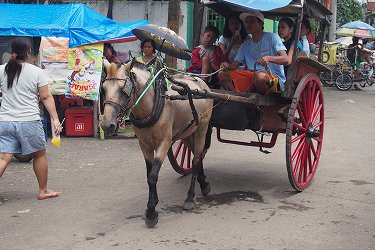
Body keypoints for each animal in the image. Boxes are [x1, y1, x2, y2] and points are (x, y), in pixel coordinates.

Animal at [101, 59, 214, 228]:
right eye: (104, 88)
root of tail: (203, 83)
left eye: (123, 90)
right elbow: (149, 174)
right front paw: (152, 203)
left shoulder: (164, 144)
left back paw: (190, 197)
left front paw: (151, 212)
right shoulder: (145, 145)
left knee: (195, 160)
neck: (153, 103)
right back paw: (204, 183)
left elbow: (153, 176)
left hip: (202, 127)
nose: (107, 125)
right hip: (187, 132)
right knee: (197, 154)